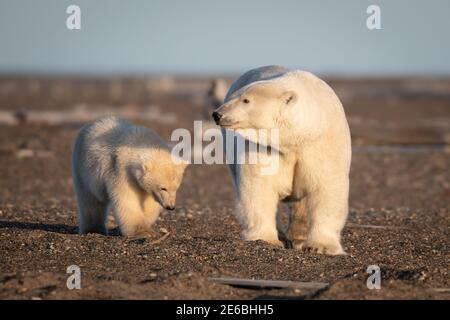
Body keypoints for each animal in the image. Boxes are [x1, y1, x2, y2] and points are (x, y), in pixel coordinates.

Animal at [213, 65, 354, 255]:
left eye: (246, 100)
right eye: (233, 96)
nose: (217, 114)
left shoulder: (322, 142)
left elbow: (326, 186)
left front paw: (321, 246)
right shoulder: (265, 146)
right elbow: (259, 186)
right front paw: (265, 239)